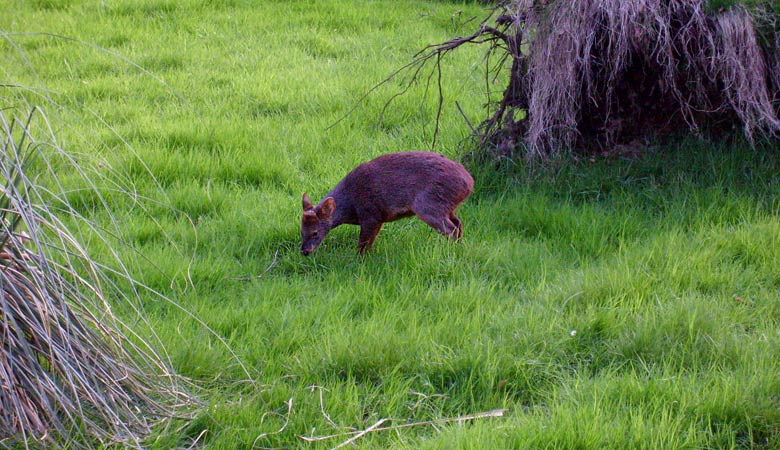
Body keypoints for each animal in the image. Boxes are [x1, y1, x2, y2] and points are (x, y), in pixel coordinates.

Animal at [302, 151, 476, 255]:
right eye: (301, 231)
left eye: (315, 232)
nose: (304, 251)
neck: (351, 206)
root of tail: (469, 182)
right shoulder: (379, 218)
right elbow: (370, 242)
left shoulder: (370, 214)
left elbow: (363, 243)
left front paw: (358, 260)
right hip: (446, 206)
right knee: (459, 224)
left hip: (428, 205)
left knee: (451, 229)